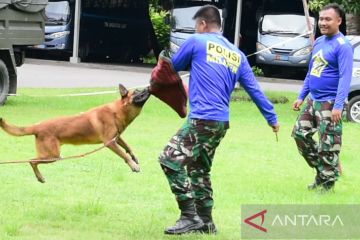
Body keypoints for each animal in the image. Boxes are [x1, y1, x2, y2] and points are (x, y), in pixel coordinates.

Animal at [0, 83, 150, 183]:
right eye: (137, 90)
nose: (149, 87)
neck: (117, 111)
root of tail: (38, 126)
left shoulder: (116, 138)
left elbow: (128, 147)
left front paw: (134, 158)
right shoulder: (109, 142)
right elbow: (124, 155)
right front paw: (133, 165)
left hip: (53, 155)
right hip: (52, 155)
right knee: (31, 161)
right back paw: (40, 177)